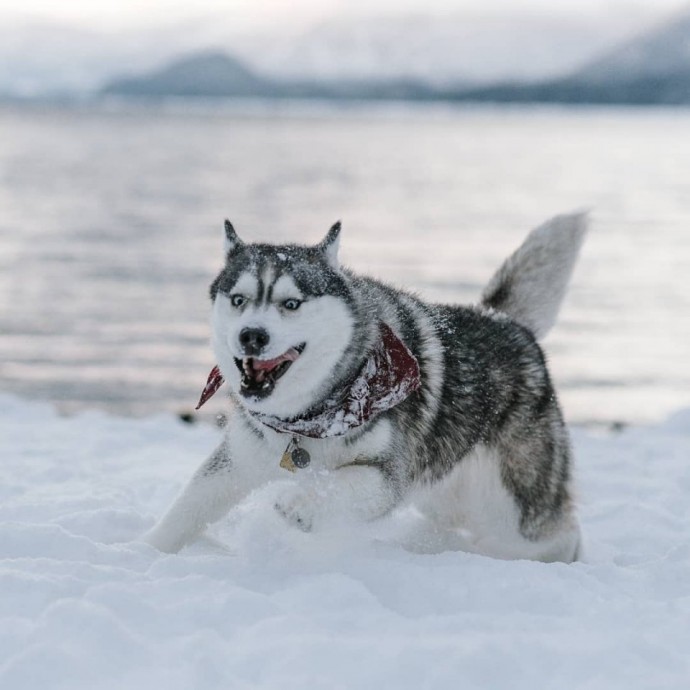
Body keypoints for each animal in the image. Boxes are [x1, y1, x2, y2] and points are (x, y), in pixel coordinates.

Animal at [145, 214, 584, 560]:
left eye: (291, 303)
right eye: (238, 300)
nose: (251, 336)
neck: (308, 417)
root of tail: (505, 322)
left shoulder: (387, 473)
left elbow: (342, 484)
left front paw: (300, 503)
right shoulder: (238, 459)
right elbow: (187, 508)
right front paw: (145, 553)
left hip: (513, 503)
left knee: (555, 534)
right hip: (444, 487)